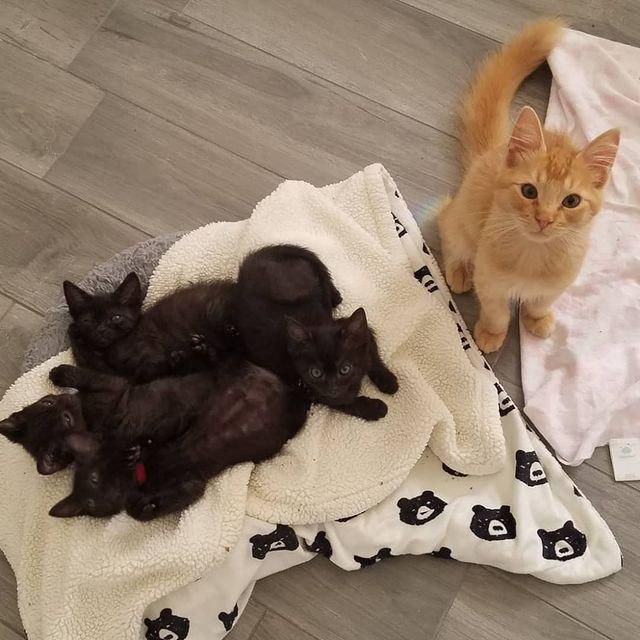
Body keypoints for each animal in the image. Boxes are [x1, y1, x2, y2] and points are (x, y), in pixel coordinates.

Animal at [63, 274, 239, 382]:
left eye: (116, 317)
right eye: (88, 321)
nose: (101, 330)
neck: (111, 349)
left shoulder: (152, 357)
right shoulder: (107, 371)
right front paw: (74, 332)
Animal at [438, 18, 616, 356]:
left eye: (571, 201)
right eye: (529, 191)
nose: (544, 218)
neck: (533, 257)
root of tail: (494, 149)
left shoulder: (558, 283)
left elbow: (540, 302)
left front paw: (538, 318)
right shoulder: (489, 280)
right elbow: (496, 311)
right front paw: (491, 334)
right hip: (464, 220)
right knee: (448, 230)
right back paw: (458, 271)